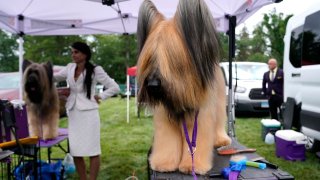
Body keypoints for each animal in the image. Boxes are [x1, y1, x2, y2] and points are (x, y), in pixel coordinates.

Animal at [136, 0, 231, 175]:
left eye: (171, 58)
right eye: (151, 57)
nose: (152, 85)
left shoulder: (200, 117)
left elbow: (197, 143)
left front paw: (192, 165)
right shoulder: (164, 118)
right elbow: (167, 141)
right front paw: (164, 163)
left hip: (219, 101)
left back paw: (221, 139)